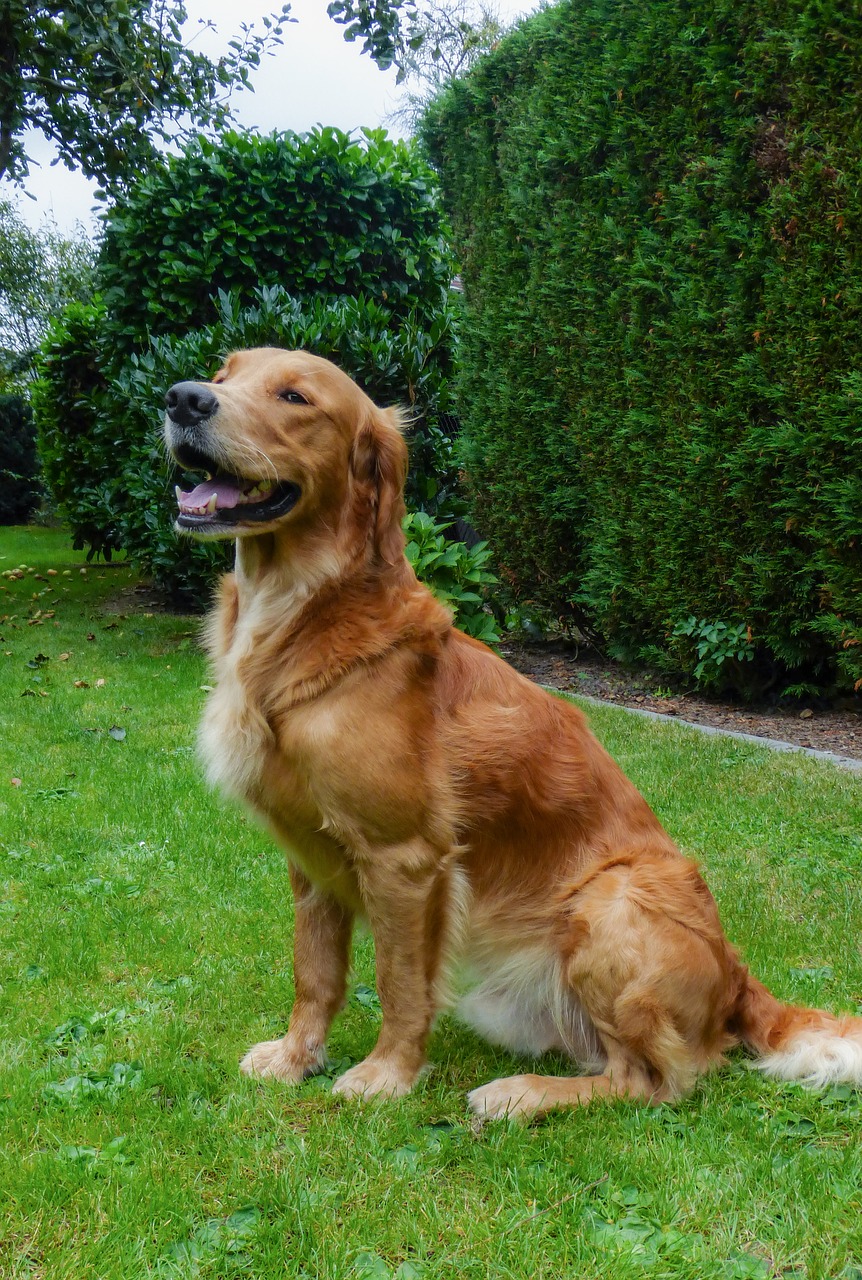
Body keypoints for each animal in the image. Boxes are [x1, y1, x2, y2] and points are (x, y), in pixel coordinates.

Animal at [166, 345, 860, 1116]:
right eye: (223, 377)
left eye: (294, 397)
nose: (183, 399)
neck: (299, 611)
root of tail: (738, 974)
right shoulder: (310, 857)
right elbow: (314, 974)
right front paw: (296, 1058)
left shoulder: (404, 859)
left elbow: (401, 984)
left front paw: (385, 1076)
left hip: (608, 898)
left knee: (652, 1082)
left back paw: (519, 1094)